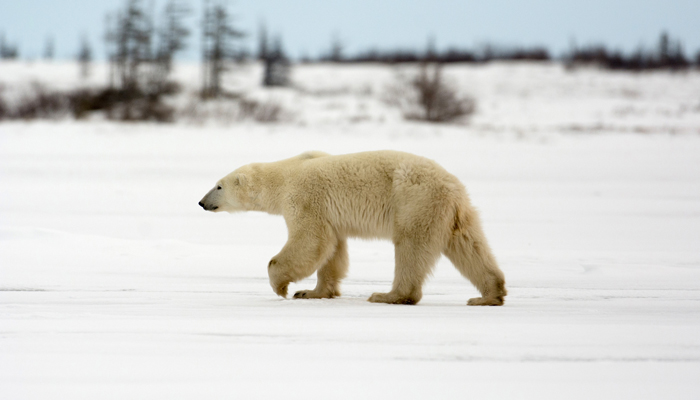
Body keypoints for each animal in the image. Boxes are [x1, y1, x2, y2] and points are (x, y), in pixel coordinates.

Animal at [198, 150, 506, 306]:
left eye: (218, 186)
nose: (201, 202)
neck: (284, 176)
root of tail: (452, 186)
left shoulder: (305, 199)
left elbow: (310, 240)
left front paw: (282, 287)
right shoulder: (329, 215)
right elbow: (332, 250)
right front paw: (312, 292)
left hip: (415, 201)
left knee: (411, 246)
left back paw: (389, 295)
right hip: (453, 213)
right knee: (469, 245)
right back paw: (489, 295)